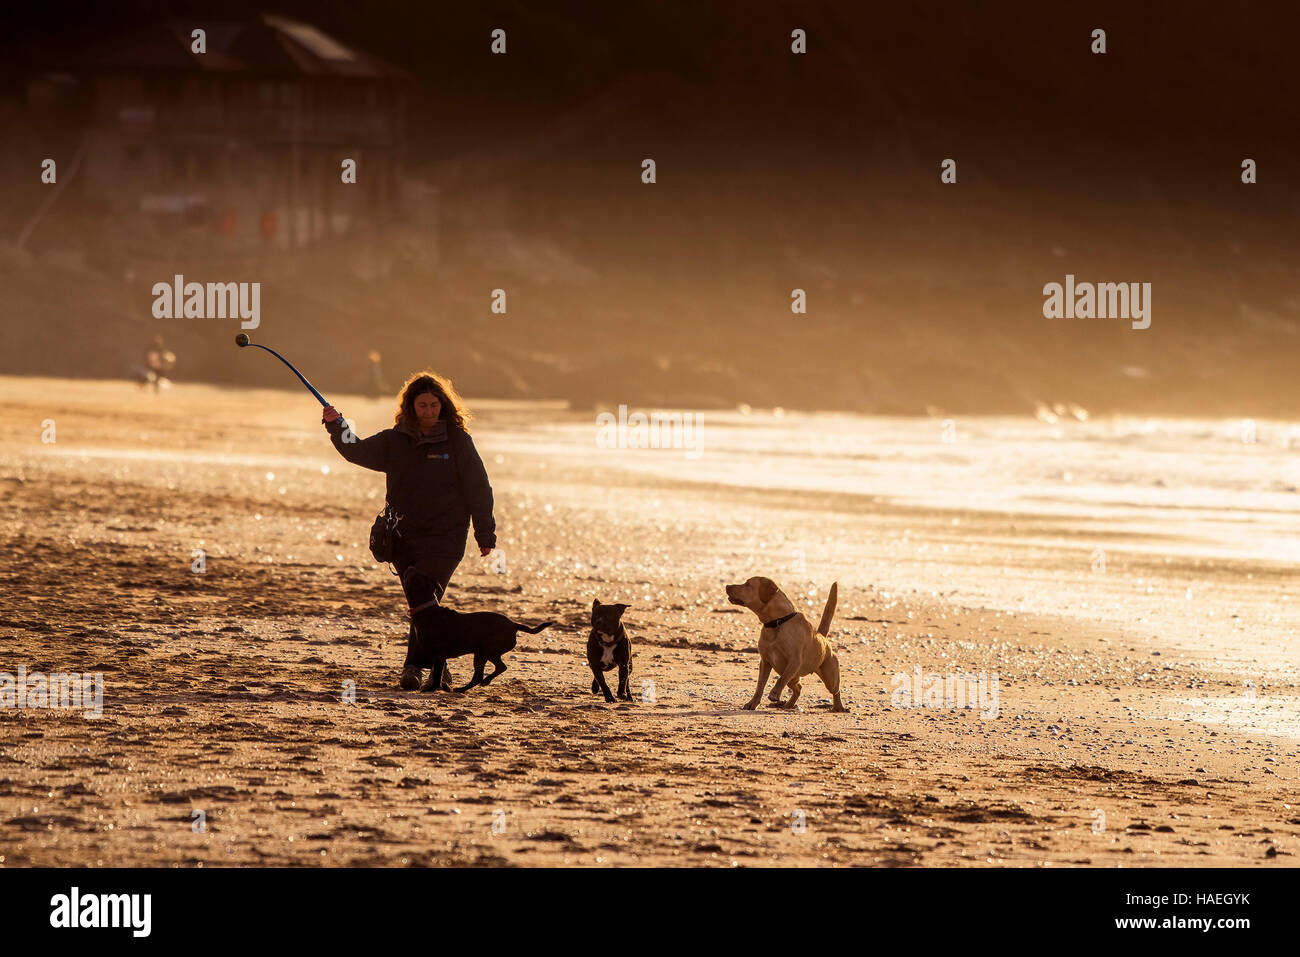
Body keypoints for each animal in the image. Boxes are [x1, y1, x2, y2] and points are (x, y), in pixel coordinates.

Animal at [410, 600, 553, 691]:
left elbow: (437, 674)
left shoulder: (439, 655)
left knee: (495, 669)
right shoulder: (438, 657)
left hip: (487, 651)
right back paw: (463, 688)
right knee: (483, 674)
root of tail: (514, 625)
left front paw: (432, 689)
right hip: (482, 654)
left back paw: (468, 687)